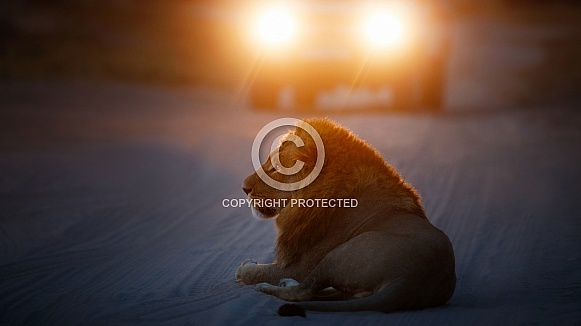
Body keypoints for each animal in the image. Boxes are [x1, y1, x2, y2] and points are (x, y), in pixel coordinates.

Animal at [234, 118, 454, 316]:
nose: (244, 188)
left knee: (303, 292)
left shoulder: (298, 267)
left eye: (276, 168)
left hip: (339, 253)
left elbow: (256, 272)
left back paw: (271, 286)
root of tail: (409, 280)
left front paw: (245, 267)